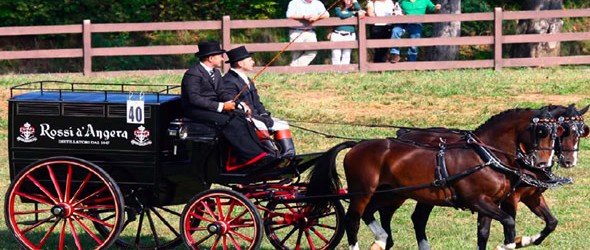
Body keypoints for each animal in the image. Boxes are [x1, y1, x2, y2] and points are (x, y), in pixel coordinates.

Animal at [306, 107, 564, 250]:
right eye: (541, 131)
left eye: (556, 134)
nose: (543, 164)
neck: (485, 155)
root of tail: (357, 145)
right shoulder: (477, 200)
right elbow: (509, 223)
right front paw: (511, 243)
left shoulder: (491, 203)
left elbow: (483, 234)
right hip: (363, 192)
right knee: (353, 220)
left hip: (391, 193)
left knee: (375, 214)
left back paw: (381, 239)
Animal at [366, 105, 588, 250]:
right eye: (563, 131)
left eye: (581, 132)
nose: (569, 161)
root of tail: (403, 135)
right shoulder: (507, 199)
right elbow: (509, 224)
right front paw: (517, 242)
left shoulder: (530, 196)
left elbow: (551, 223)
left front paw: (527, 240)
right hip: (399, 193)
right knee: (386, 212)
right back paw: (383, 241)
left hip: (423, 195)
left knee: (416, 218)